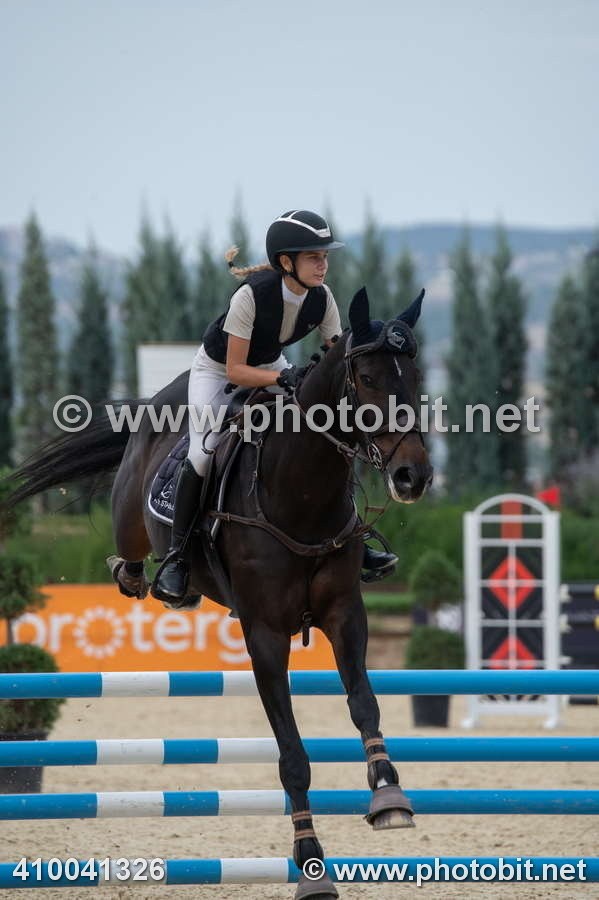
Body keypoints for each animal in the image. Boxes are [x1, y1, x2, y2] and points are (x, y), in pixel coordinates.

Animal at [3, 286, 432, 899]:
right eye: (369, 378)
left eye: (415, 376)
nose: (412, 477)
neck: (303, 492)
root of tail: (157, 401)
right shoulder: (265, 634)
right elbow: (292, 756)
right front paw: (311, 865)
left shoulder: (345, 614)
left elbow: (365, 705)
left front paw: (389, 795)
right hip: (135, 518)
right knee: (131, 558)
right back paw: (155, 577)